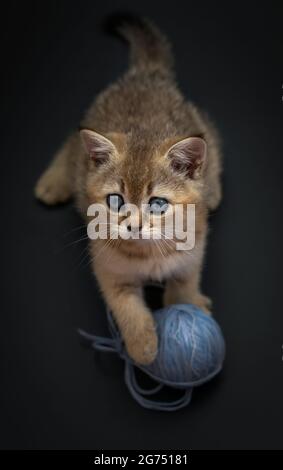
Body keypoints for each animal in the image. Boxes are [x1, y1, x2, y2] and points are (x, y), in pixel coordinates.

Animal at [35, 14, 222, 366]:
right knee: (72, 141)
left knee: (212, 134)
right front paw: (142, 346)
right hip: (86, 139)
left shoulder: (195, 247)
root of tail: (145, 74)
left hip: (197, 123)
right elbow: (127, 308)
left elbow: (185, 280)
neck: (149, 254)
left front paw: (187, 305)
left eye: (158, 203)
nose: (133, 225)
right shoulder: (108, 269)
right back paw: (53, 182)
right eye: (116, 200)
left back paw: (214, 187)